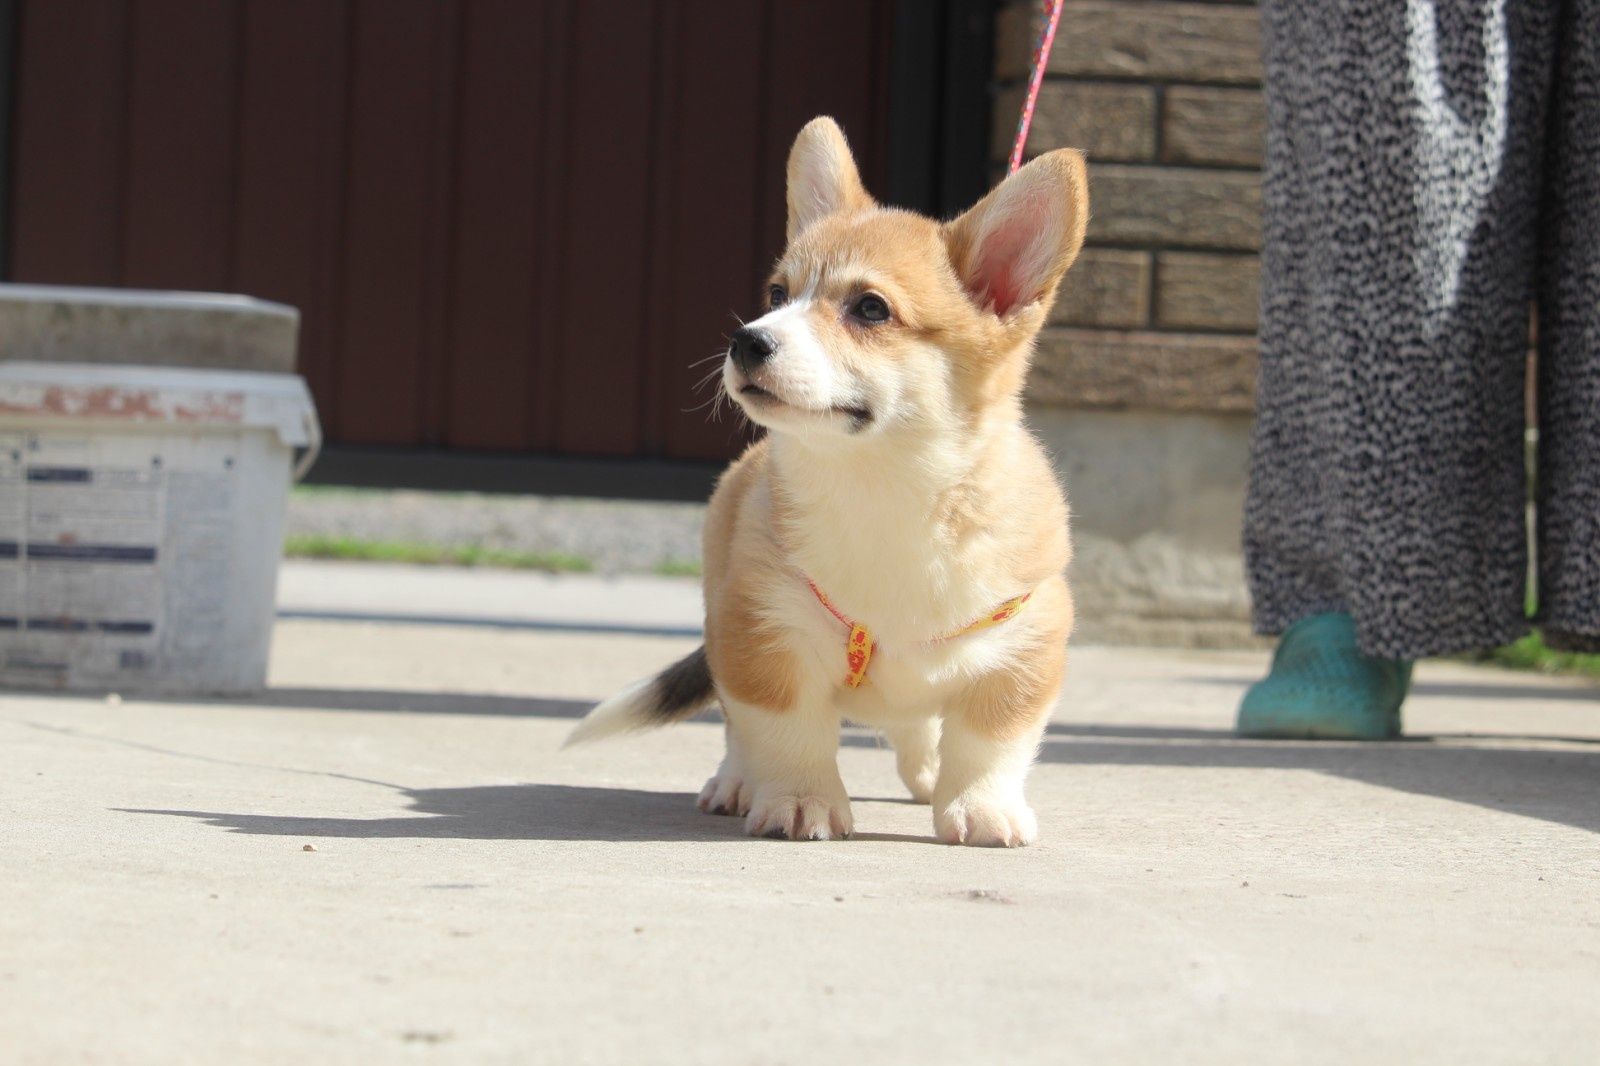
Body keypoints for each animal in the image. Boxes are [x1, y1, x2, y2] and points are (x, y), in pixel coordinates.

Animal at [569, 116, 1094, 845]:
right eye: (776, 295)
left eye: (870, 309)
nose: (745, 341)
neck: (882, 484)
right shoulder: (764, 636)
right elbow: (790, 733)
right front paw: (800, 803)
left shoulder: (1023, 647)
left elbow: (990, 742)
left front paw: (981, 809)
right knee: (736, 729)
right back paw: (735, 783)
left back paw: (925, 775)